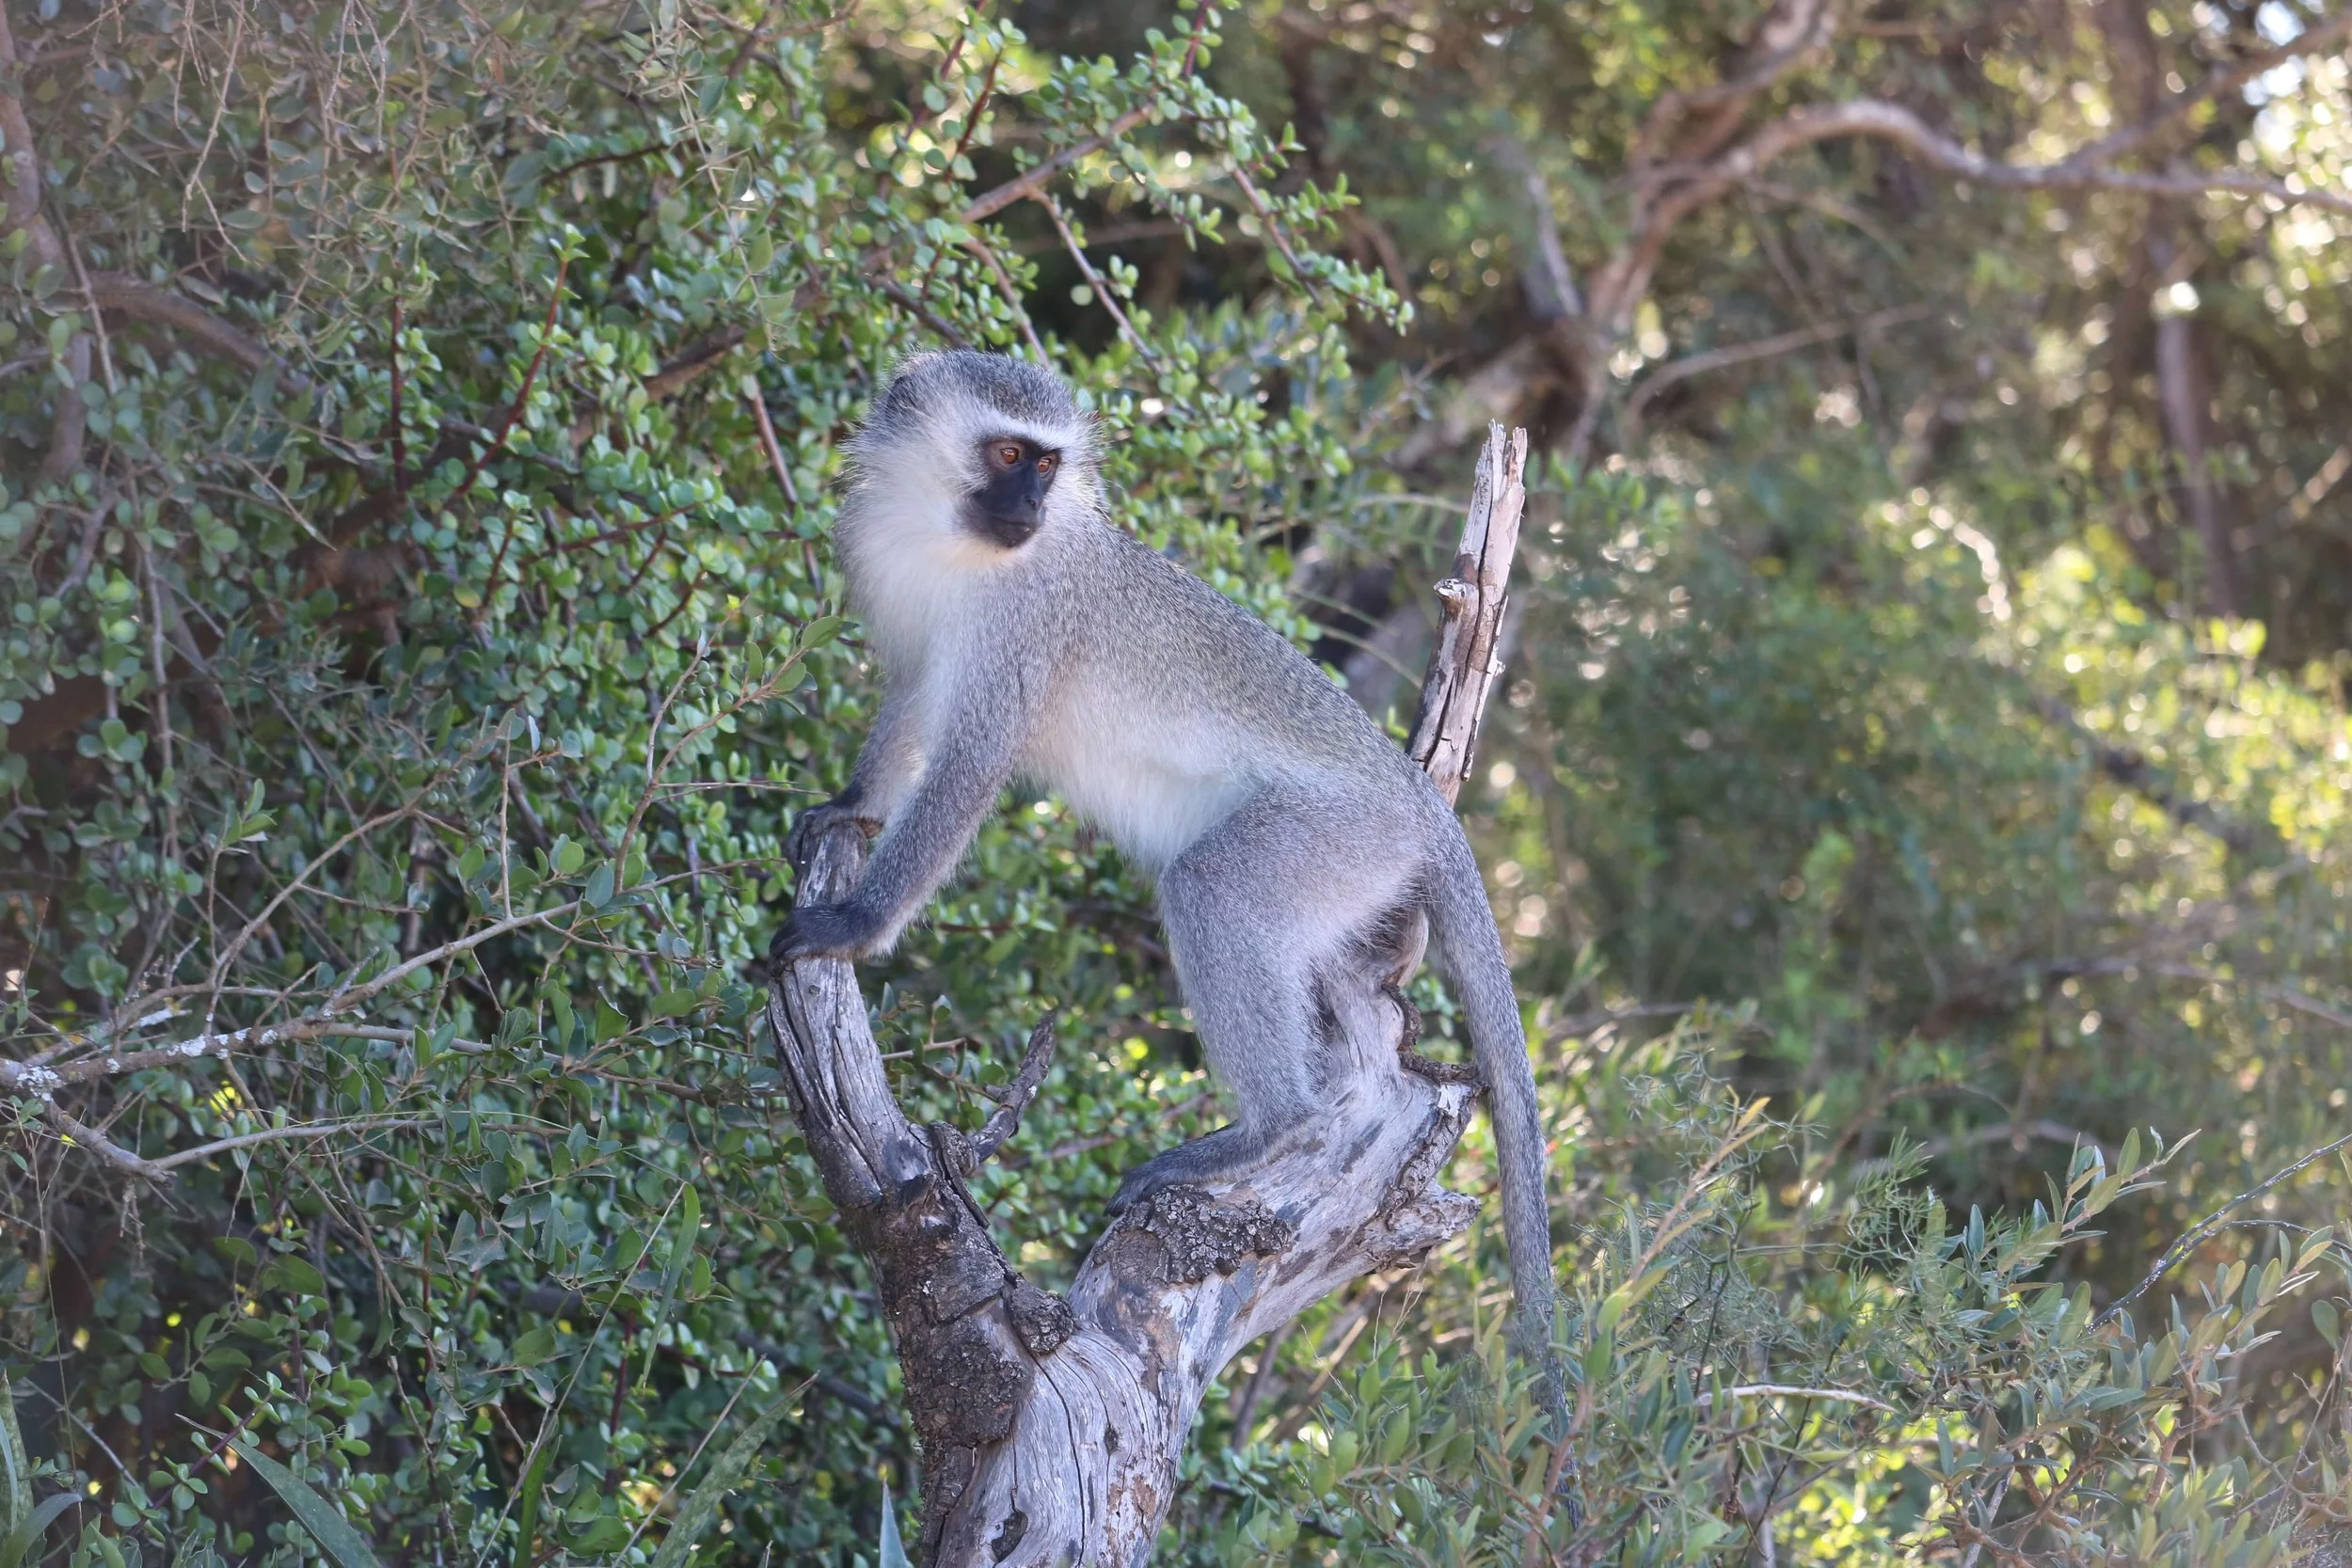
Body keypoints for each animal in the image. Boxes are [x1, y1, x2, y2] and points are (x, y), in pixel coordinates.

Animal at [769, 351, 1556, 1349]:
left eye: (1049, 464)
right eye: (1009, 454)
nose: (1029, 507)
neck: (950, 542)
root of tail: (1420, 803)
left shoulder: (1025, 624)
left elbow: (969, 766)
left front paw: (853, 922)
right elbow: (912, 698)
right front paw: (847, 809)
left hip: (1339, 836)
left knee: (1211, 887)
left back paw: (1269, 1127)